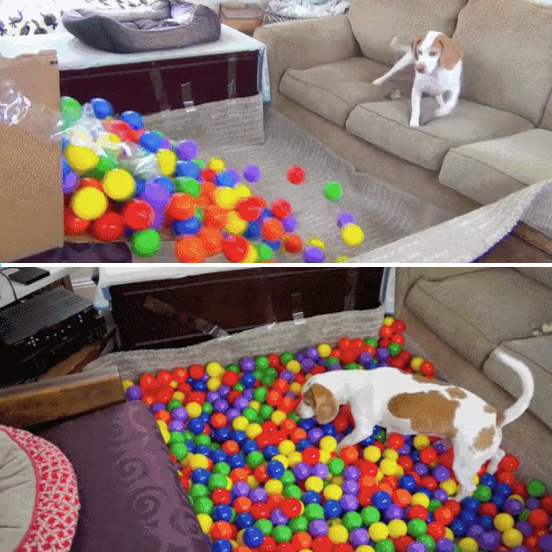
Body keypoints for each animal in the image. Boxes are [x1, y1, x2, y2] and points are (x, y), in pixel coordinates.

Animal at [298, 352, 536, 502]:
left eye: (307, 401)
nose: (297, 413)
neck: (356, 382)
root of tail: (496, 415)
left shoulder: (363, 429)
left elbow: (344, 441)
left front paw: (336, 451)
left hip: (463, 463)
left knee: (470, 487)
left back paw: (454, 500)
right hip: (477, 450)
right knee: (499, 454)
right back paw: (492, 469)